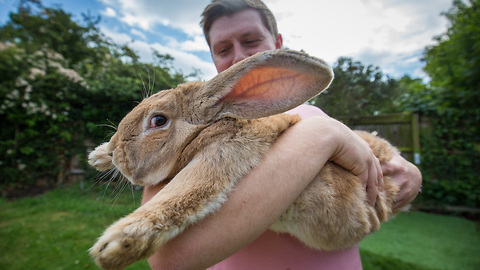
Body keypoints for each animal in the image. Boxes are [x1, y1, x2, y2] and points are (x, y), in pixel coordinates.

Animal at [88, 49, 404, 268]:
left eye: (158, 121)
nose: (116, 151)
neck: (209, 129)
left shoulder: (223, 154)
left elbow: (183, 194)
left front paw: (114, 245)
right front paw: (97, 156)